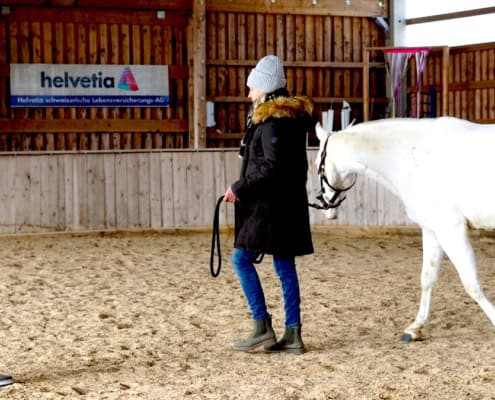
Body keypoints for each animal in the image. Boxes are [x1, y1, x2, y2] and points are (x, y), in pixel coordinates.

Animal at [316, 117, 495, 342]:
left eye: (317, 166)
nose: (326, 208)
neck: (415, 157)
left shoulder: (450, 229)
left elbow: (471, 283)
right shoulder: (432, 230)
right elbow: (427, 278)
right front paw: (415, 328)